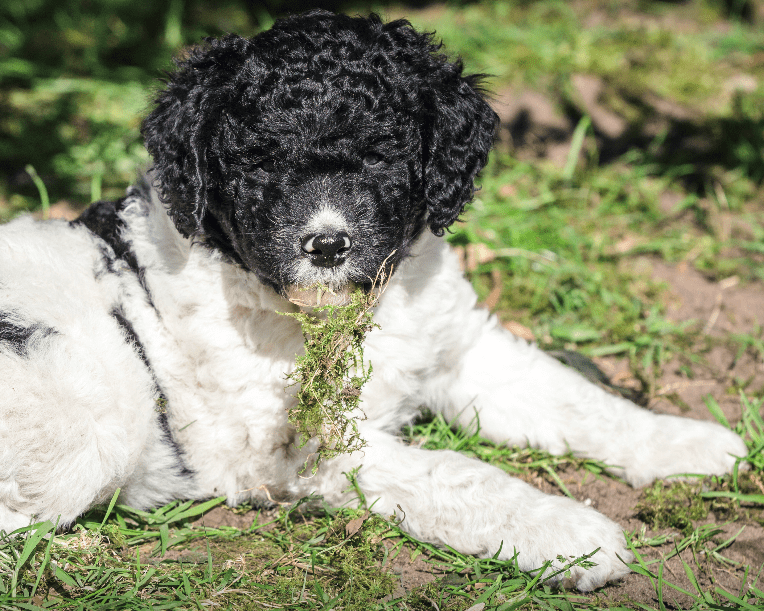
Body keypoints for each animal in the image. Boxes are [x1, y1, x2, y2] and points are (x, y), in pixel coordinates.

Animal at [0, 10, 748, 592]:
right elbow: (457, 473)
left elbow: (576, 398)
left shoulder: (459, 345)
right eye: (259, 163)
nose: (326, 244)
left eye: (382, 156)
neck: (345, 313)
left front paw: (687, 442)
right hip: (91, 422)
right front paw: (570, 534)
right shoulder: (307, 446)